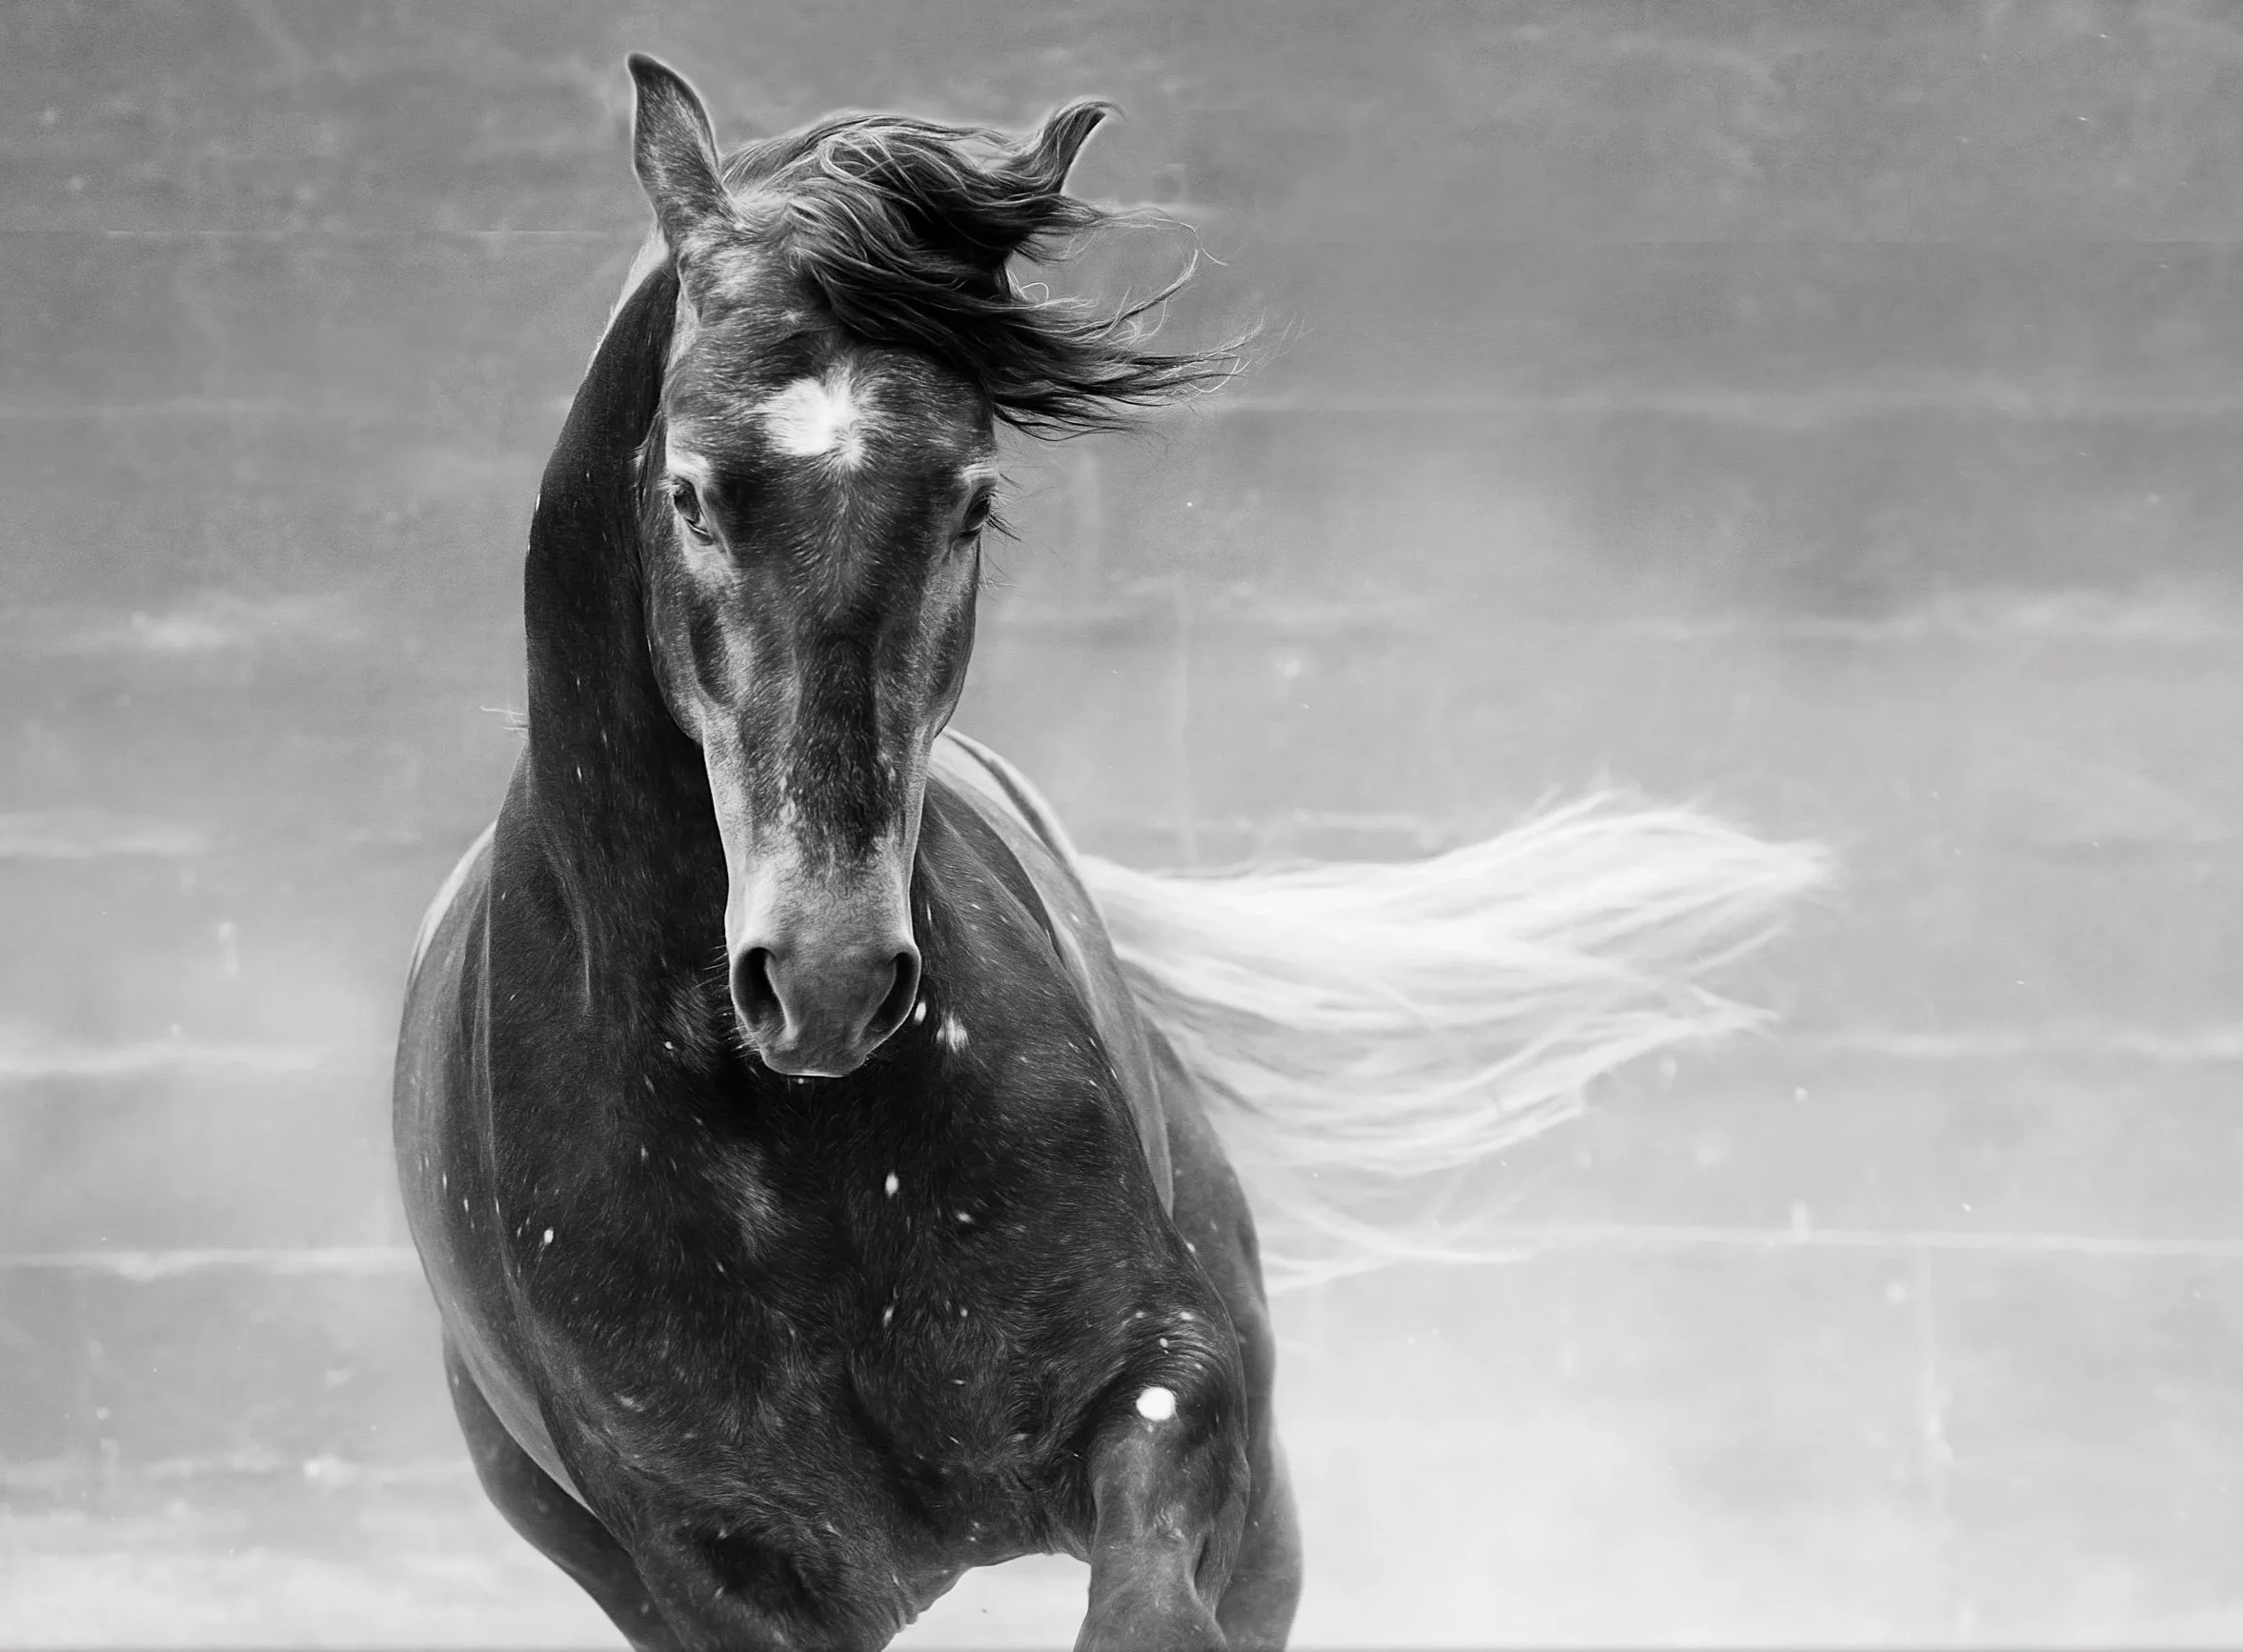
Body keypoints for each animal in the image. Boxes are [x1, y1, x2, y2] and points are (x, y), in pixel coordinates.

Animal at [394, 54, 1824, 1651]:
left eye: (968, 500)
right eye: (693, 493)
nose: (825, 974)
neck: (795, 1153)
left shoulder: (1178, 1394)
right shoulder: (716, 1560)